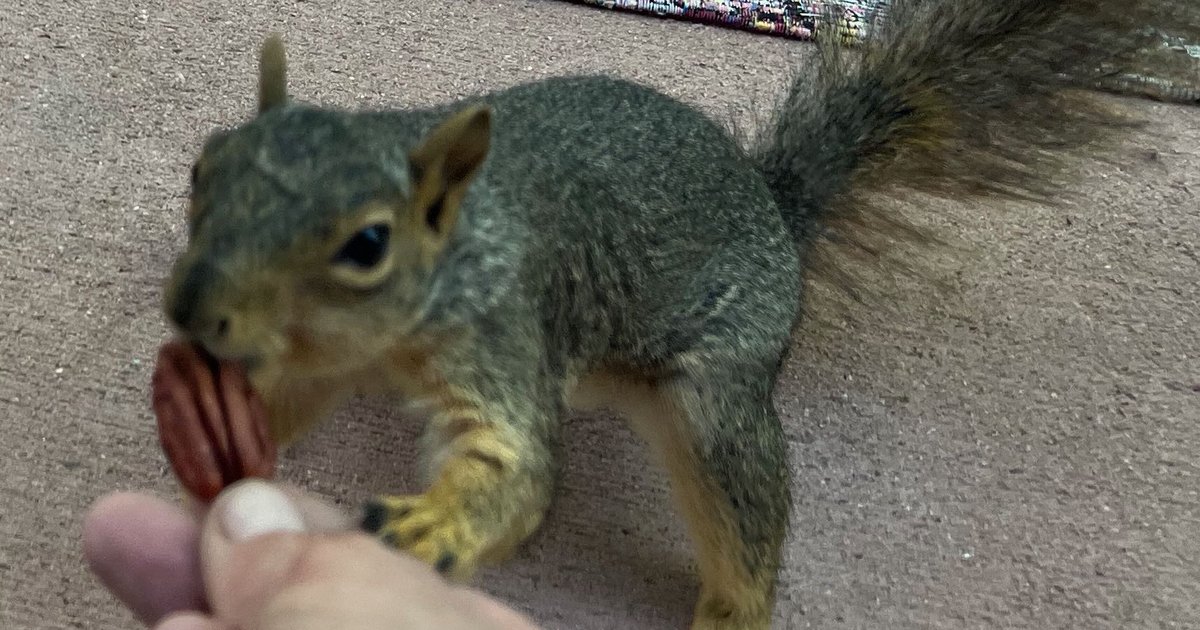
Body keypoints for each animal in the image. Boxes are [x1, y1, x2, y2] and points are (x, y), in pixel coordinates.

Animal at [158, 0, 1197, 627]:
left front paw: (432, 532)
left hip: (713, 391)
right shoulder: (324, 358)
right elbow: (286, 401)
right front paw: (199, 431)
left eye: (368, 244)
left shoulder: (505, 335)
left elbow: (515, 470)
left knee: (744, 505)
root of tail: (775, 208)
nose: (192, 309)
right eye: (204, 164)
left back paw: (733, 609)